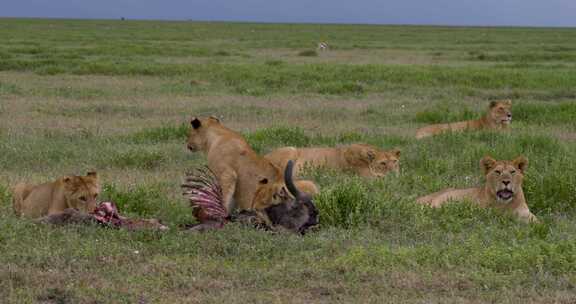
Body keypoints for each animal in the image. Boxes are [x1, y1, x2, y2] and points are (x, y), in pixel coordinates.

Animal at [186, 117, 318, 213]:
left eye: (190, 133)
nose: (188, 145)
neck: (218, 134)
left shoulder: (227, 175)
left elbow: (225, 199)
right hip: (310, 184)